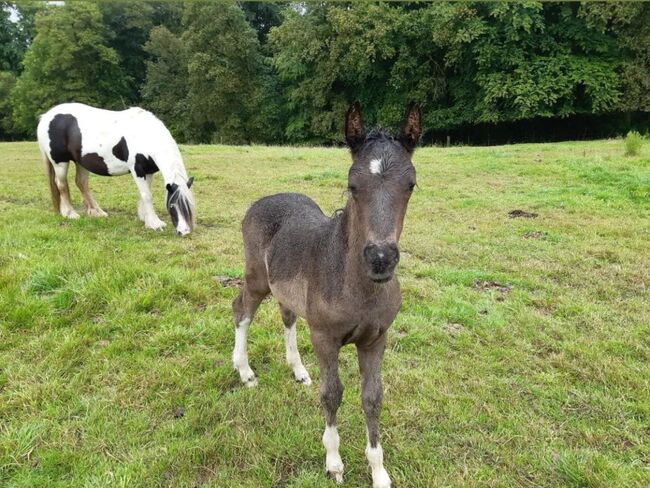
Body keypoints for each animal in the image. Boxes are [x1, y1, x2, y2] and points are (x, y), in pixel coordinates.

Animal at [37, 102, 195, 235]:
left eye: (189, 205)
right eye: (172, 206)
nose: (184, 232)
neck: (144, 135)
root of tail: (46, 117)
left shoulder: (148, 171)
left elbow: (145, 194)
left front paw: (145, 218)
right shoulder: (137, 170)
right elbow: (147, 195)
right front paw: (155, 224)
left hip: (80, 162)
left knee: (81, 183)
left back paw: (97, 212)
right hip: (60, 162)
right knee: (61, 185)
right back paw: (70, 213)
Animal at [233, 101, 420, 486]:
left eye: (410, 184)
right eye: (352, 184)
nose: (380, 258)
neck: (358, 287)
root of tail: (262, 201)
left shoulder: (376, 339)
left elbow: (372, 397)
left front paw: (379, 471)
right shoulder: (324, 337)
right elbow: (332, 395)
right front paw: (334, 462)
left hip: (285, 288)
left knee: (287, 315)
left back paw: (298, 370)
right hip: (257, 278)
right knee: (241, 311)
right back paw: (245, 372)